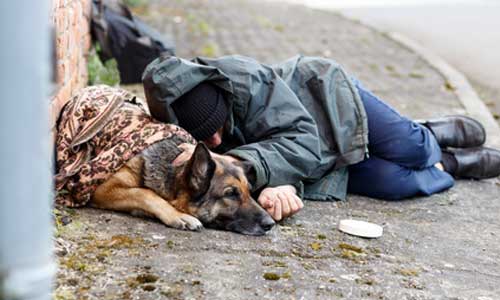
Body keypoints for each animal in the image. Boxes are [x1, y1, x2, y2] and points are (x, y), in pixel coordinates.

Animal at [92, 141, 276, 237]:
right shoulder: (103, 189)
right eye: (231, 194)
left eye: (249, 191)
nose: (271, 224)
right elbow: (144, 192)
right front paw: (178, 215)